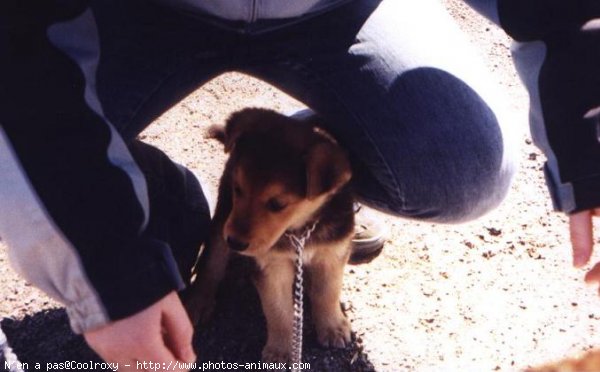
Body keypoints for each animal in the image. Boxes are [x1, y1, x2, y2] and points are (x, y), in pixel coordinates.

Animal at [186, 107, 356, 360]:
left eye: (277, 204)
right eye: (239, 189)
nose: (235, 242)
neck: (300, 230)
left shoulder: (333, 253)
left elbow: (328, 292)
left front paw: (332, 327)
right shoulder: (270, 266)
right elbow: (278, 309)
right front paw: (280, 350)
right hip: (223, 218)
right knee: (212, 261)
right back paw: (199, 300)